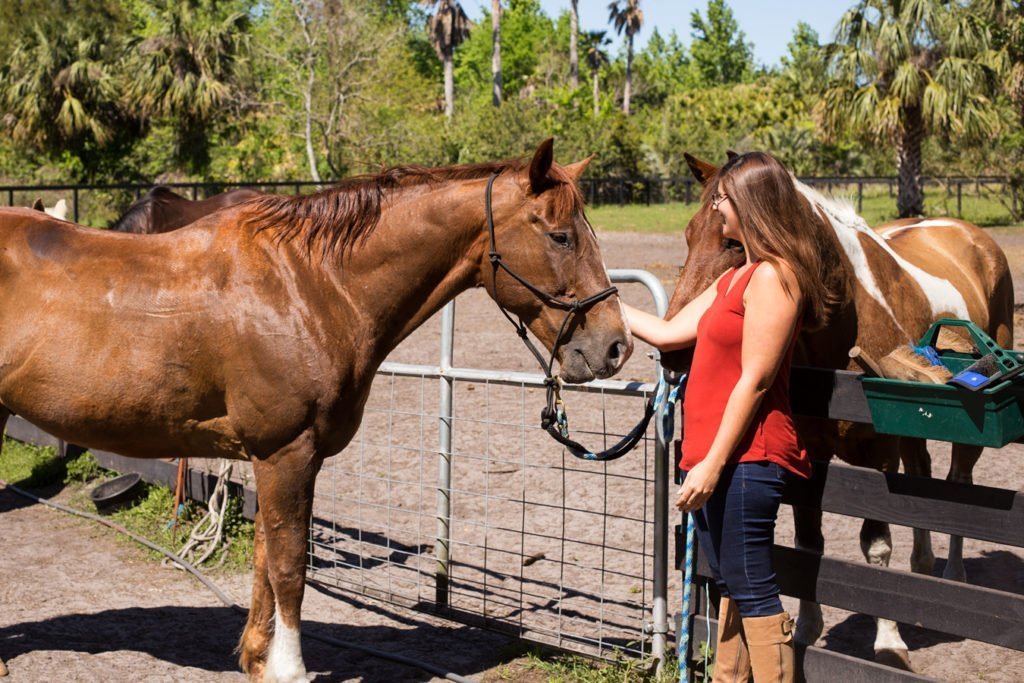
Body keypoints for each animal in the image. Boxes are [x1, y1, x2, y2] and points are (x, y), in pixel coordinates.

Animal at [667, 152, 1011, 671]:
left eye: (732, 242)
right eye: (688, 234)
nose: (672, 353)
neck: (846, 318)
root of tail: (971, 235)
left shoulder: (880, 454)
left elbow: (877, 546)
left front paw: (888, 644)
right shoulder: (812, 455)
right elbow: (810, 543)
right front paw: (806, 632)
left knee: (956, 486)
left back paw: (951, 577)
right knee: (925, 481)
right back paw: (923, 570)